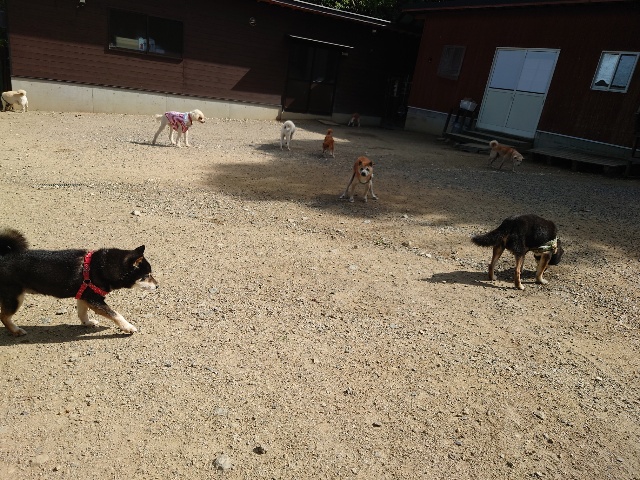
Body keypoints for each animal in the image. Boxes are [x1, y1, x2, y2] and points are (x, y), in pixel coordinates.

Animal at [0, 228, 158, 336]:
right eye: (147, 275)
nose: (157, 285)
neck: (100, 266)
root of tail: (3, 258)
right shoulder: (94, 300)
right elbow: (116, 314)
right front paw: (127, 326)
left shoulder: (84, 296)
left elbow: (82, 313)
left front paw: (87, 323)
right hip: (15, 298)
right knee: (4, 317)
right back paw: (16, 330)